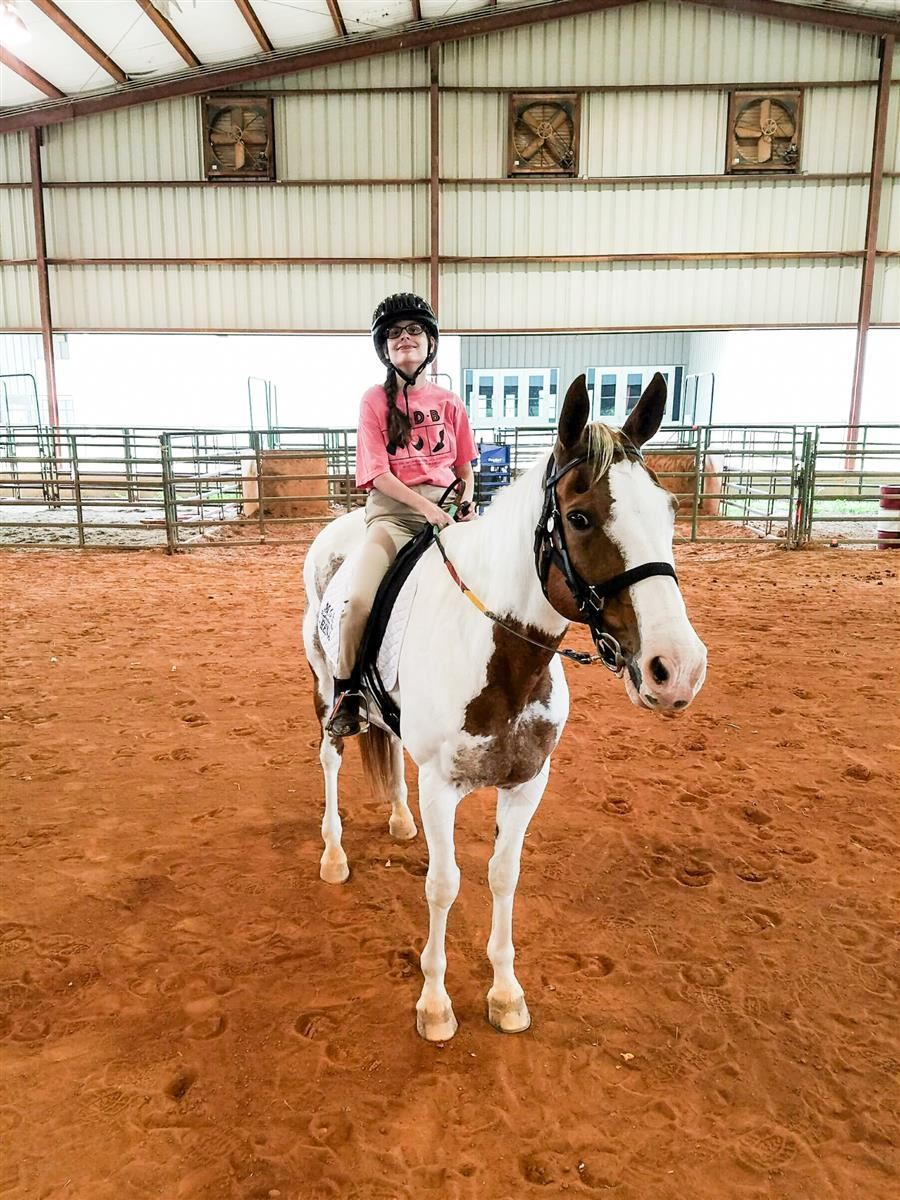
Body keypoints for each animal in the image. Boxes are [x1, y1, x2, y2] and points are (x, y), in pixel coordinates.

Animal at [304, 374, 710, 1041]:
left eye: (669, 512)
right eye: (580, 517)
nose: (678, 669)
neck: (505, 662)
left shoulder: (526, 785)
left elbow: (503, 875)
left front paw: (505, 993)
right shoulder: (441, 787)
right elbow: (443, 886)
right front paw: (435, 1005)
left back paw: (399, 820)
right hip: (324, 690)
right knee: (333, 759)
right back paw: (334, 854)